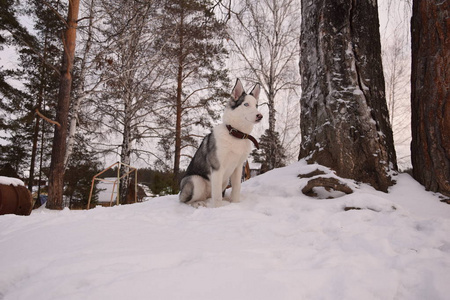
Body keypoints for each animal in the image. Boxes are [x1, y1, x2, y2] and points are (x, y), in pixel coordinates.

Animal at [180, 78, 264, 207]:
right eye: (246, 104)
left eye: (256, 105)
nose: (260, 116)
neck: (235, 134)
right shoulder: (217, 168)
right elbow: (217, 196)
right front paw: (218, 209)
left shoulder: (238, 167)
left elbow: (236, 188)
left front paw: (235, 203)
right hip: (196, 180)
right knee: (185, 201)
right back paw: (198, 204)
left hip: (224, 181)